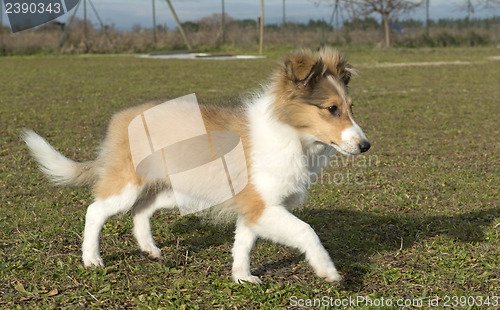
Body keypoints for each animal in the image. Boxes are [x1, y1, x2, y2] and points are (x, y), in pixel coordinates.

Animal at [23, 47, 370, 284]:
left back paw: (150, 249)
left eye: (351, 108)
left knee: (141, 210)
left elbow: (243, 244)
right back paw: (91, 259)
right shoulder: (263, 206)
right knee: (95, 211)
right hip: (127, 184)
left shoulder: (253, 207)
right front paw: (328, 270)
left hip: (172, 189)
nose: (366, 146)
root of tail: (121, 118)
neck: (292, 134)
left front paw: (241, 277)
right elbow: (306, 231)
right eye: (332, 109)